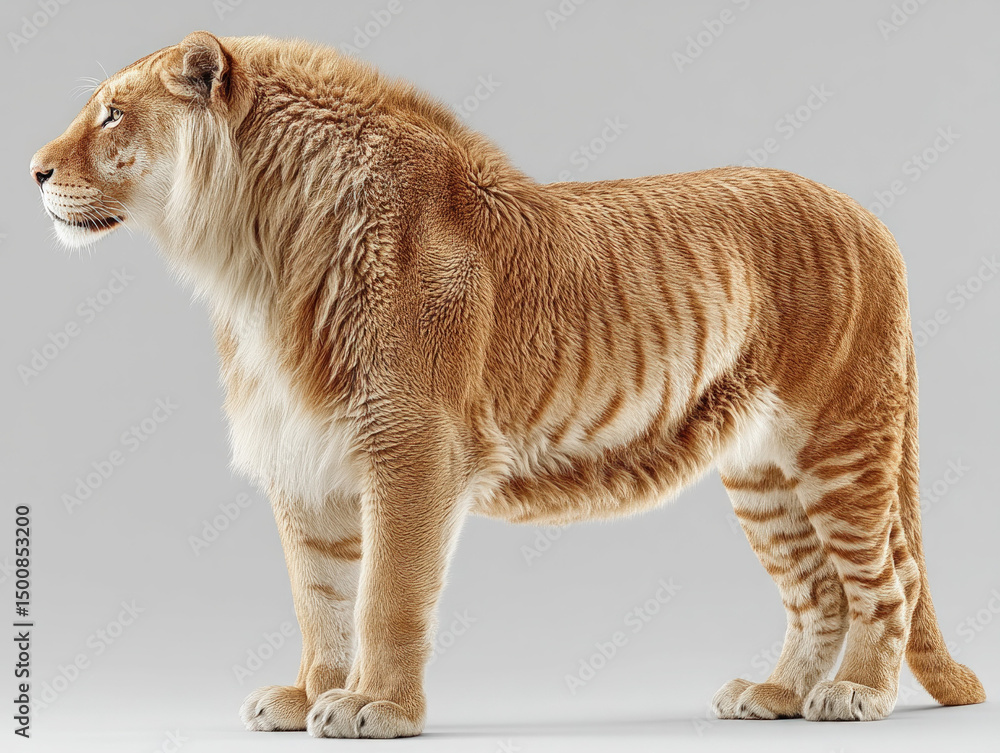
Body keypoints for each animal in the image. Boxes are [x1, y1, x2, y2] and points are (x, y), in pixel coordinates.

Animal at [29, 32, 984, 738]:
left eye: (111, 113)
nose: (34, 171)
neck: (255, 260)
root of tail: (871, 217)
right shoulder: (304, 461)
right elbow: (321, 598)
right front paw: (308, 696)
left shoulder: (413, 447)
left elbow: (386, 595)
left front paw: (375, 706)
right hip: (762, 469)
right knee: (817, 589)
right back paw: (777, 694)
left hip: (840, 438)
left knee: (883, 580)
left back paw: (856, 693)